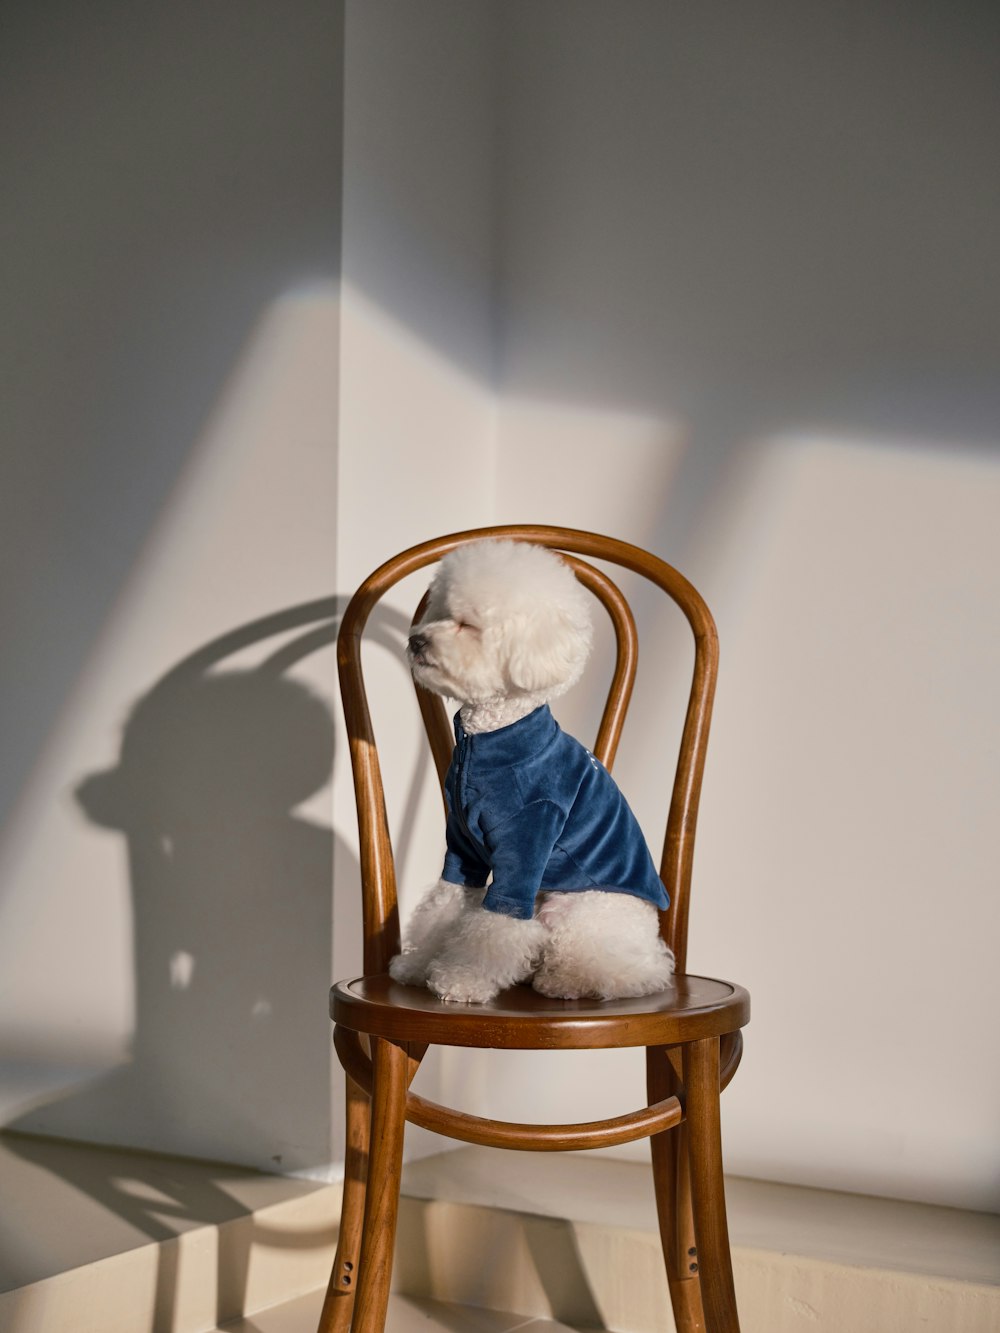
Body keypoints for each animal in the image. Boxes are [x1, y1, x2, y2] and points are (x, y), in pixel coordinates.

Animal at [386, 535, 677, 1002]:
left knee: (622, 971)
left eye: (468, 625)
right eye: (441, 612)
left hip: (583, 910)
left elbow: (496, 927)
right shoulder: (462, 848)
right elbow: (444, 906)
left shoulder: (529, 839)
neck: (489, 736)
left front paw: (461, 978)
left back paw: (567, 980)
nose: (417, 641)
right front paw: (416, 964)